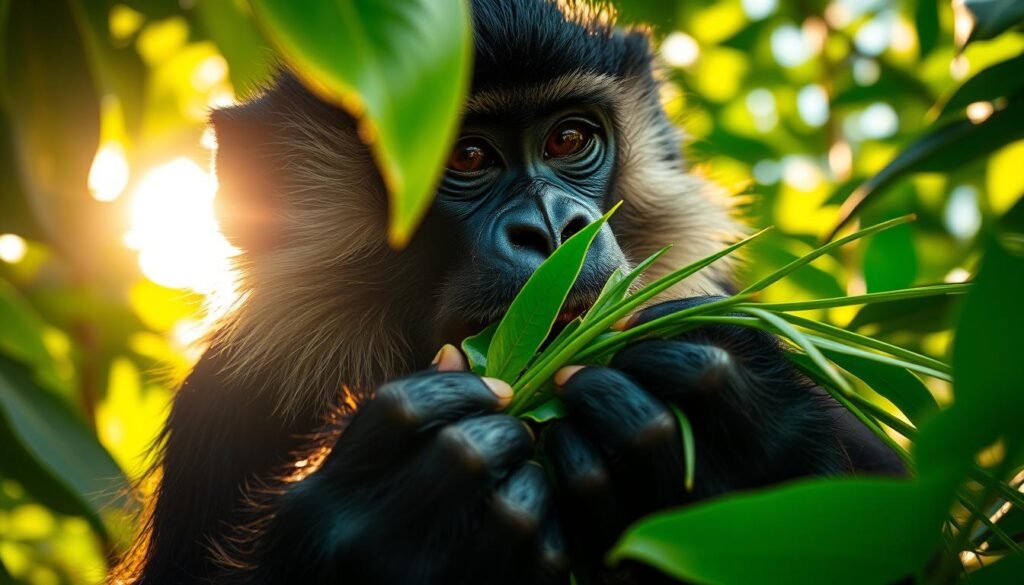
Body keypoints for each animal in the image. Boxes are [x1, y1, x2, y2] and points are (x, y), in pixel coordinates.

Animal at [117, 1, 905, 584]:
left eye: (568, 141)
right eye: (467, 156)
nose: (556, 228)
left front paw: (736, 442)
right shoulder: (227, 401)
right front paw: (392, 525)